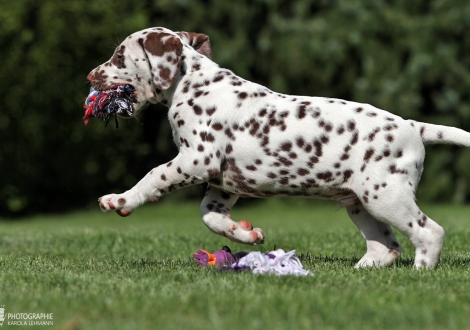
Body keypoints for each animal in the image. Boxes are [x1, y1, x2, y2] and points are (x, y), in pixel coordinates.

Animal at [87, 25, 470, 268]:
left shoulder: (196, 159)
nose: (90, 76)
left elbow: (153, 176)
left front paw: (120, 200)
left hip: (386, 197)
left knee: (429, 232)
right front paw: (244, 233)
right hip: (360, 203)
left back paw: (422, 271)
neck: (191, 83)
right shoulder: (222, 183)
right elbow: (210, 215)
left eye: (119, 56)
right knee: (385, 246)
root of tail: (412, 126)